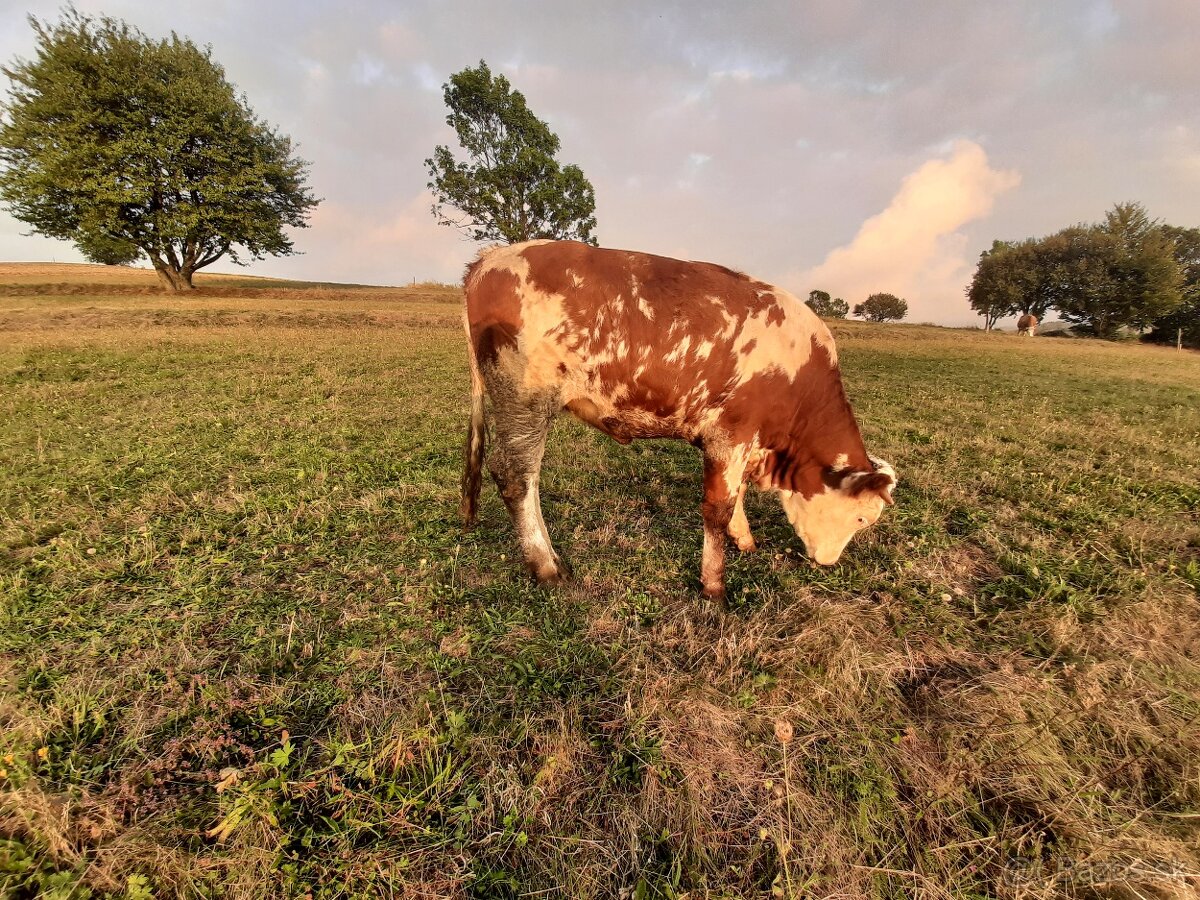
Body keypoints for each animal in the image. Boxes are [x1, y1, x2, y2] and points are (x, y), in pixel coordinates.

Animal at [458, 241, 902, 607]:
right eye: (862, 519)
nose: (827, 562)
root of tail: (491, 258)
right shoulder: (729, 435)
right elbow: (717, 509)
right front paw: (714, 586)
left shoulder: (745, 443)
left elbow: (737, 495)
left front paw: (744, 539)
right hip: (526, 399)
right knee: (515, 476)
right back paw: (546, 567)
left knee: (528, 480)